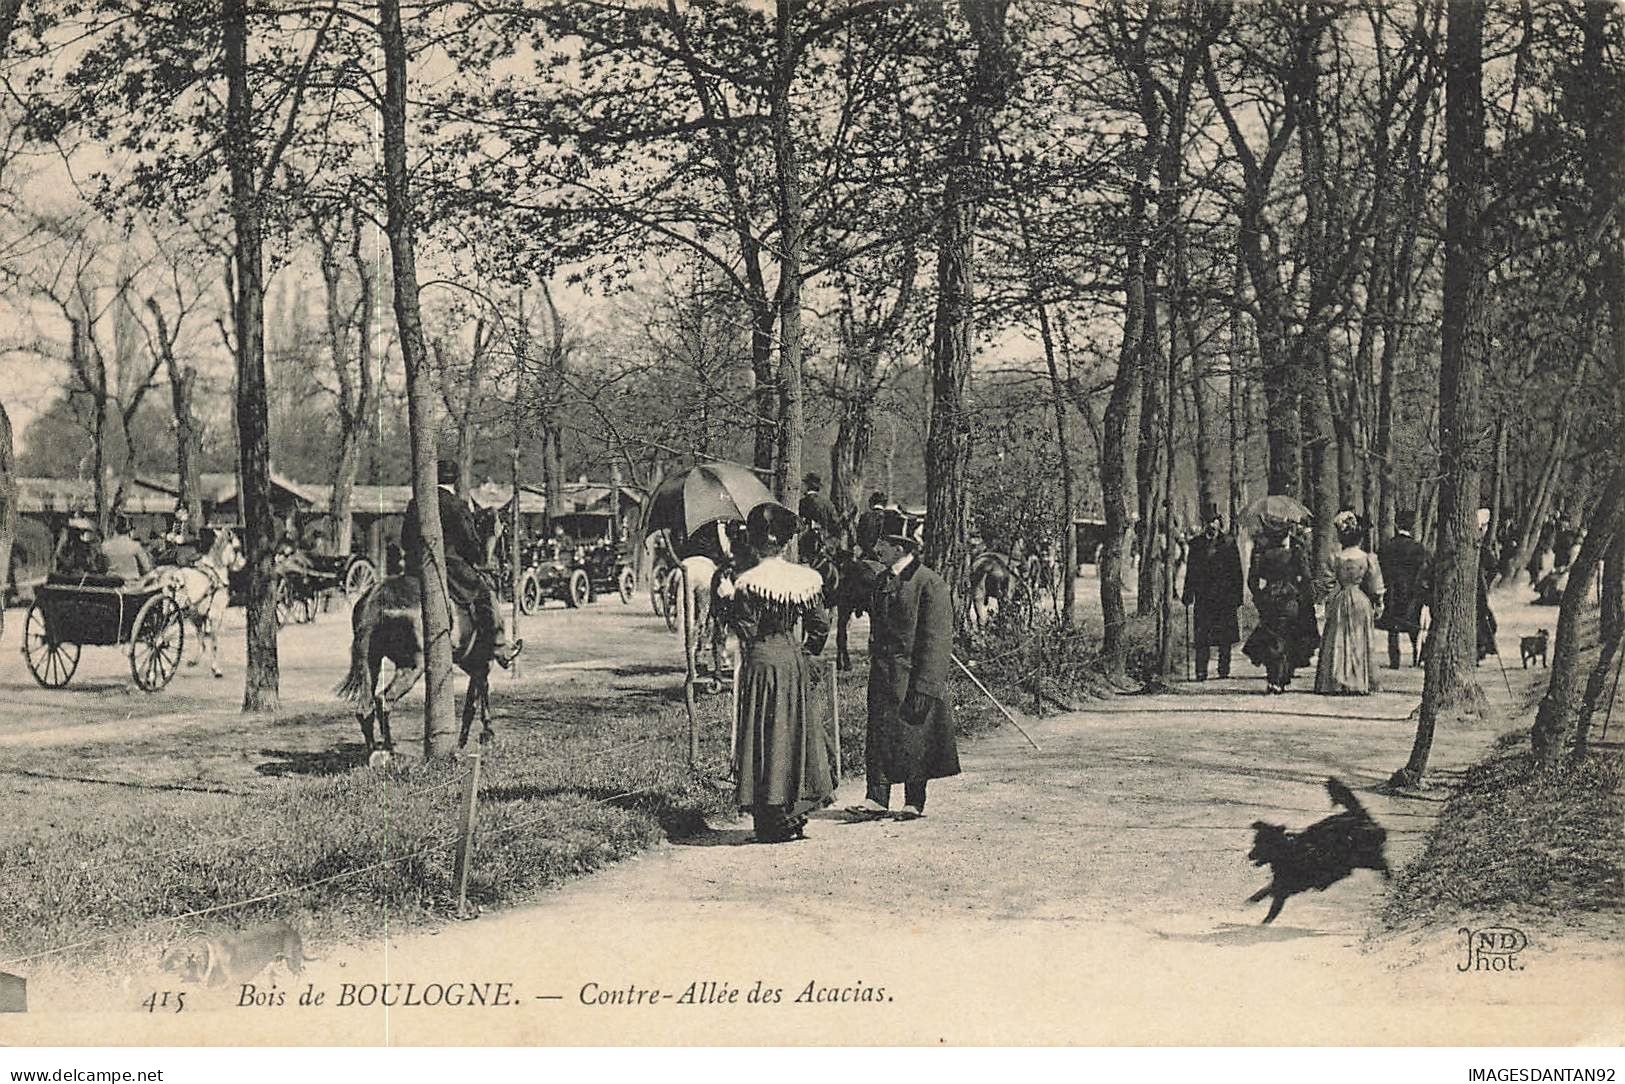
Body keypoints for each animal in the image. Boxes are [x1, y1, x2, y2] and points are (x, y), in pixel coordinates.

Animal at [150, 526, 243, 672]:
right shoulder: (215, 615)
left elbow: (201, 640)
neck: (215, 573)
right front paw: (215, 668)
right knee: (163, 632)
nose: (243, 564)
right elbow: (213, 642)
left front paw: (195, 660)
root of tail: (174, 576)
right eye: (237, 548)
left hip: (168, 608)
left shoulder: (197, 616)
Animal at [160, 923, 308, 988]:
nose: (159, 966)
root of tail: (292, 929)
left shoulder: (230, 983)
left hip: (292, 960)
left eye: (176, 961)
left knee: (300, 973)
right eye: (166, 955)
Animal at [333, 503, 503, 760]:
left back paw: (375, 751)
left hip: (372, 662)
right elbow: (480, 693)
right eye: (496, 528)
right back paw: (390, 750)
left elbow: (472, 698)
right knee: (383, 701)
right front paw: (486, 735)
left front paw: (465, 740)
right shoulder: (482, 661)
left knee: (365, 708)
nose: (497, 566)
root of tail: (374, 600)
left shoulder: (470, 662)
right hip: (413, 665)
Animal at [1248, 780, 1391, 923]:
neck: (1290, 850)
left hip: (1364, 858)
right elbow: (1266, 892)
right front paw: (1253, 901)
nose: (1249, 855)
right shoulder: (1282, 884)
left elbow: (1272, 903)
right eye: (1255, 843)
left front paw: (1263, 919)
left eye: (1261, 845)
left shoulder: (1286, 886)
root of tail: (1358, 816)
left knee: (1382, 863)